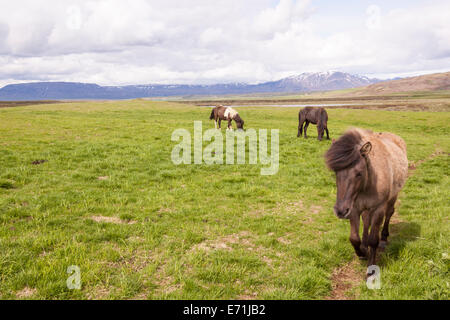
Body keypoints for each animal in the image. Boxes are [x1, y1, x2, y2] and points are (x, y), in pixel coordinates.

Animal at [326, 127, 410, 276]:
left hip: (392, 197)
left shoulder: (378, 209)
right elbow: (354, 238)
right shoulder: (353, 208)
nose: (340, 211)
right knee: (366, 220)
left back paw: (384, 239)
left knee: (389, 214)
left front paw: (371, 266)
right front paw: (362, 252)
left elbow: (373, 240)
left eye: (359, 173)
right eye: (336, 171)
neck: (368, 183)